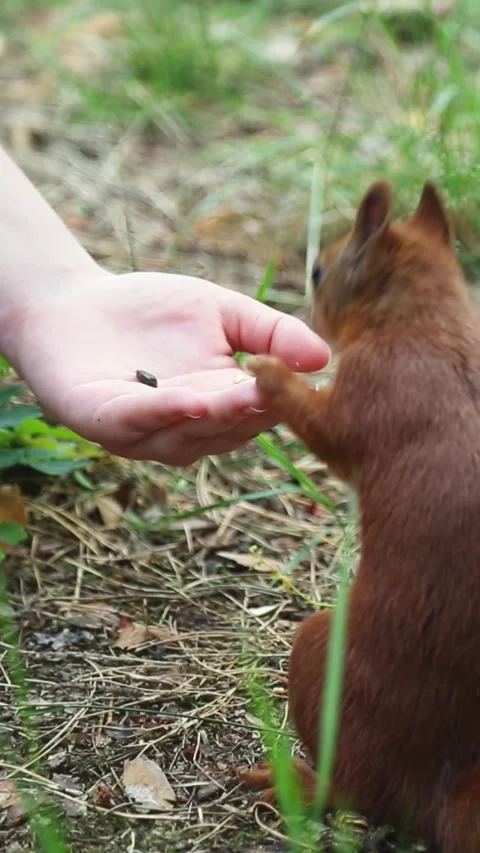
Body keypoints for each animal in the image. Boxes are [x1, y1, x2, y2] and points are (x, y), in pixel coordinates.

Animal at [238, 181, 480, 853]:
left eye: (319, 271)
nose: (309, 319)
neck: (434, 324)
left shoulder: (376, 387)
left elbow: (331, 434)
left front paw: (270, 371)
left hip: (323, 657)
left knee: (355, 791)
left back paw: (297, 782)